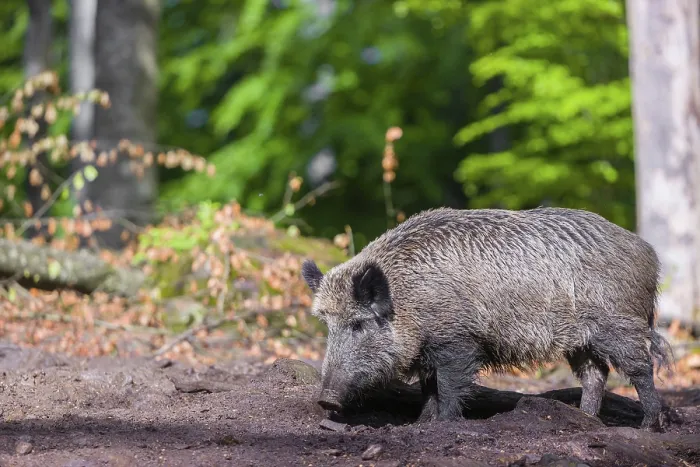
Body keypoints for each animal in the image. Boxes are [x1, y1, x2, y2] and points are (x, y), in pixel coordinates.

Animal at [301, 207, 673, 431]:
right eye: (327, 326)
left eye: (359, 323)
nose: (325, 398)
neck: (408, 298)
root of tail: (649, 254)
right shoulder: (429, 351)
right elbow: (428, 388)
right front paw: (421, 424)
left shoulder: (457, 340)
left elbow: (449, 386)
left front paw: (444, 425)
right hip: (581, 340)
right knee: (595, 375)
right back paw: (585, 421)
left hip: (618, 324)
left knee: (640, 368)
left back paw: (648, 426)